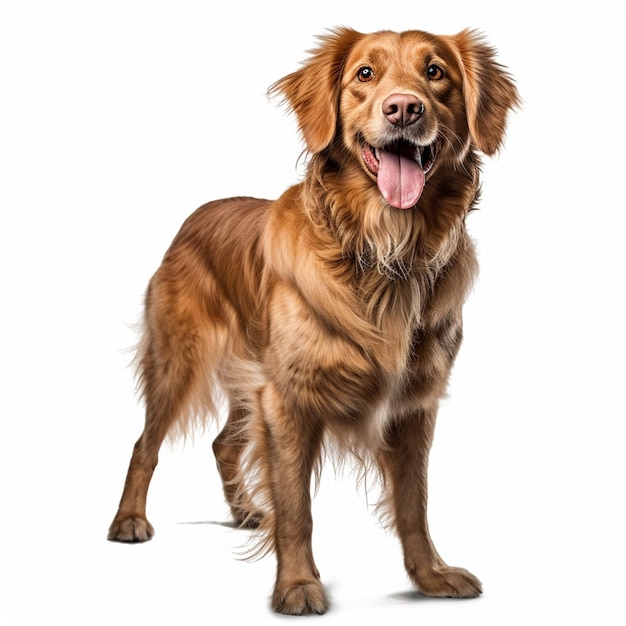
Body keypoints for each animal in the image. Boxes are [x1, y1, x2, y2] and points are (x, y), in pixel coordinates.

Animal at [107, 26, 516, 612]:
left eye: (436, 72)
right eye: (365, 74)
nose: (404, 108)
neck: (385, 252)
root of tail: (195, 215)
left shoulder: (414, 404)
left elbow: (414, 502)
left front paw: (431, 576)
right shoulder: (288, 398)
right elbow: (297, 507)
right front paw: (298, 587)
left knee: (223, 444)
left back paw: (244, 511)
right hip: (178, 361)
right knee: (145, 444)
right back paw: (129, 521)